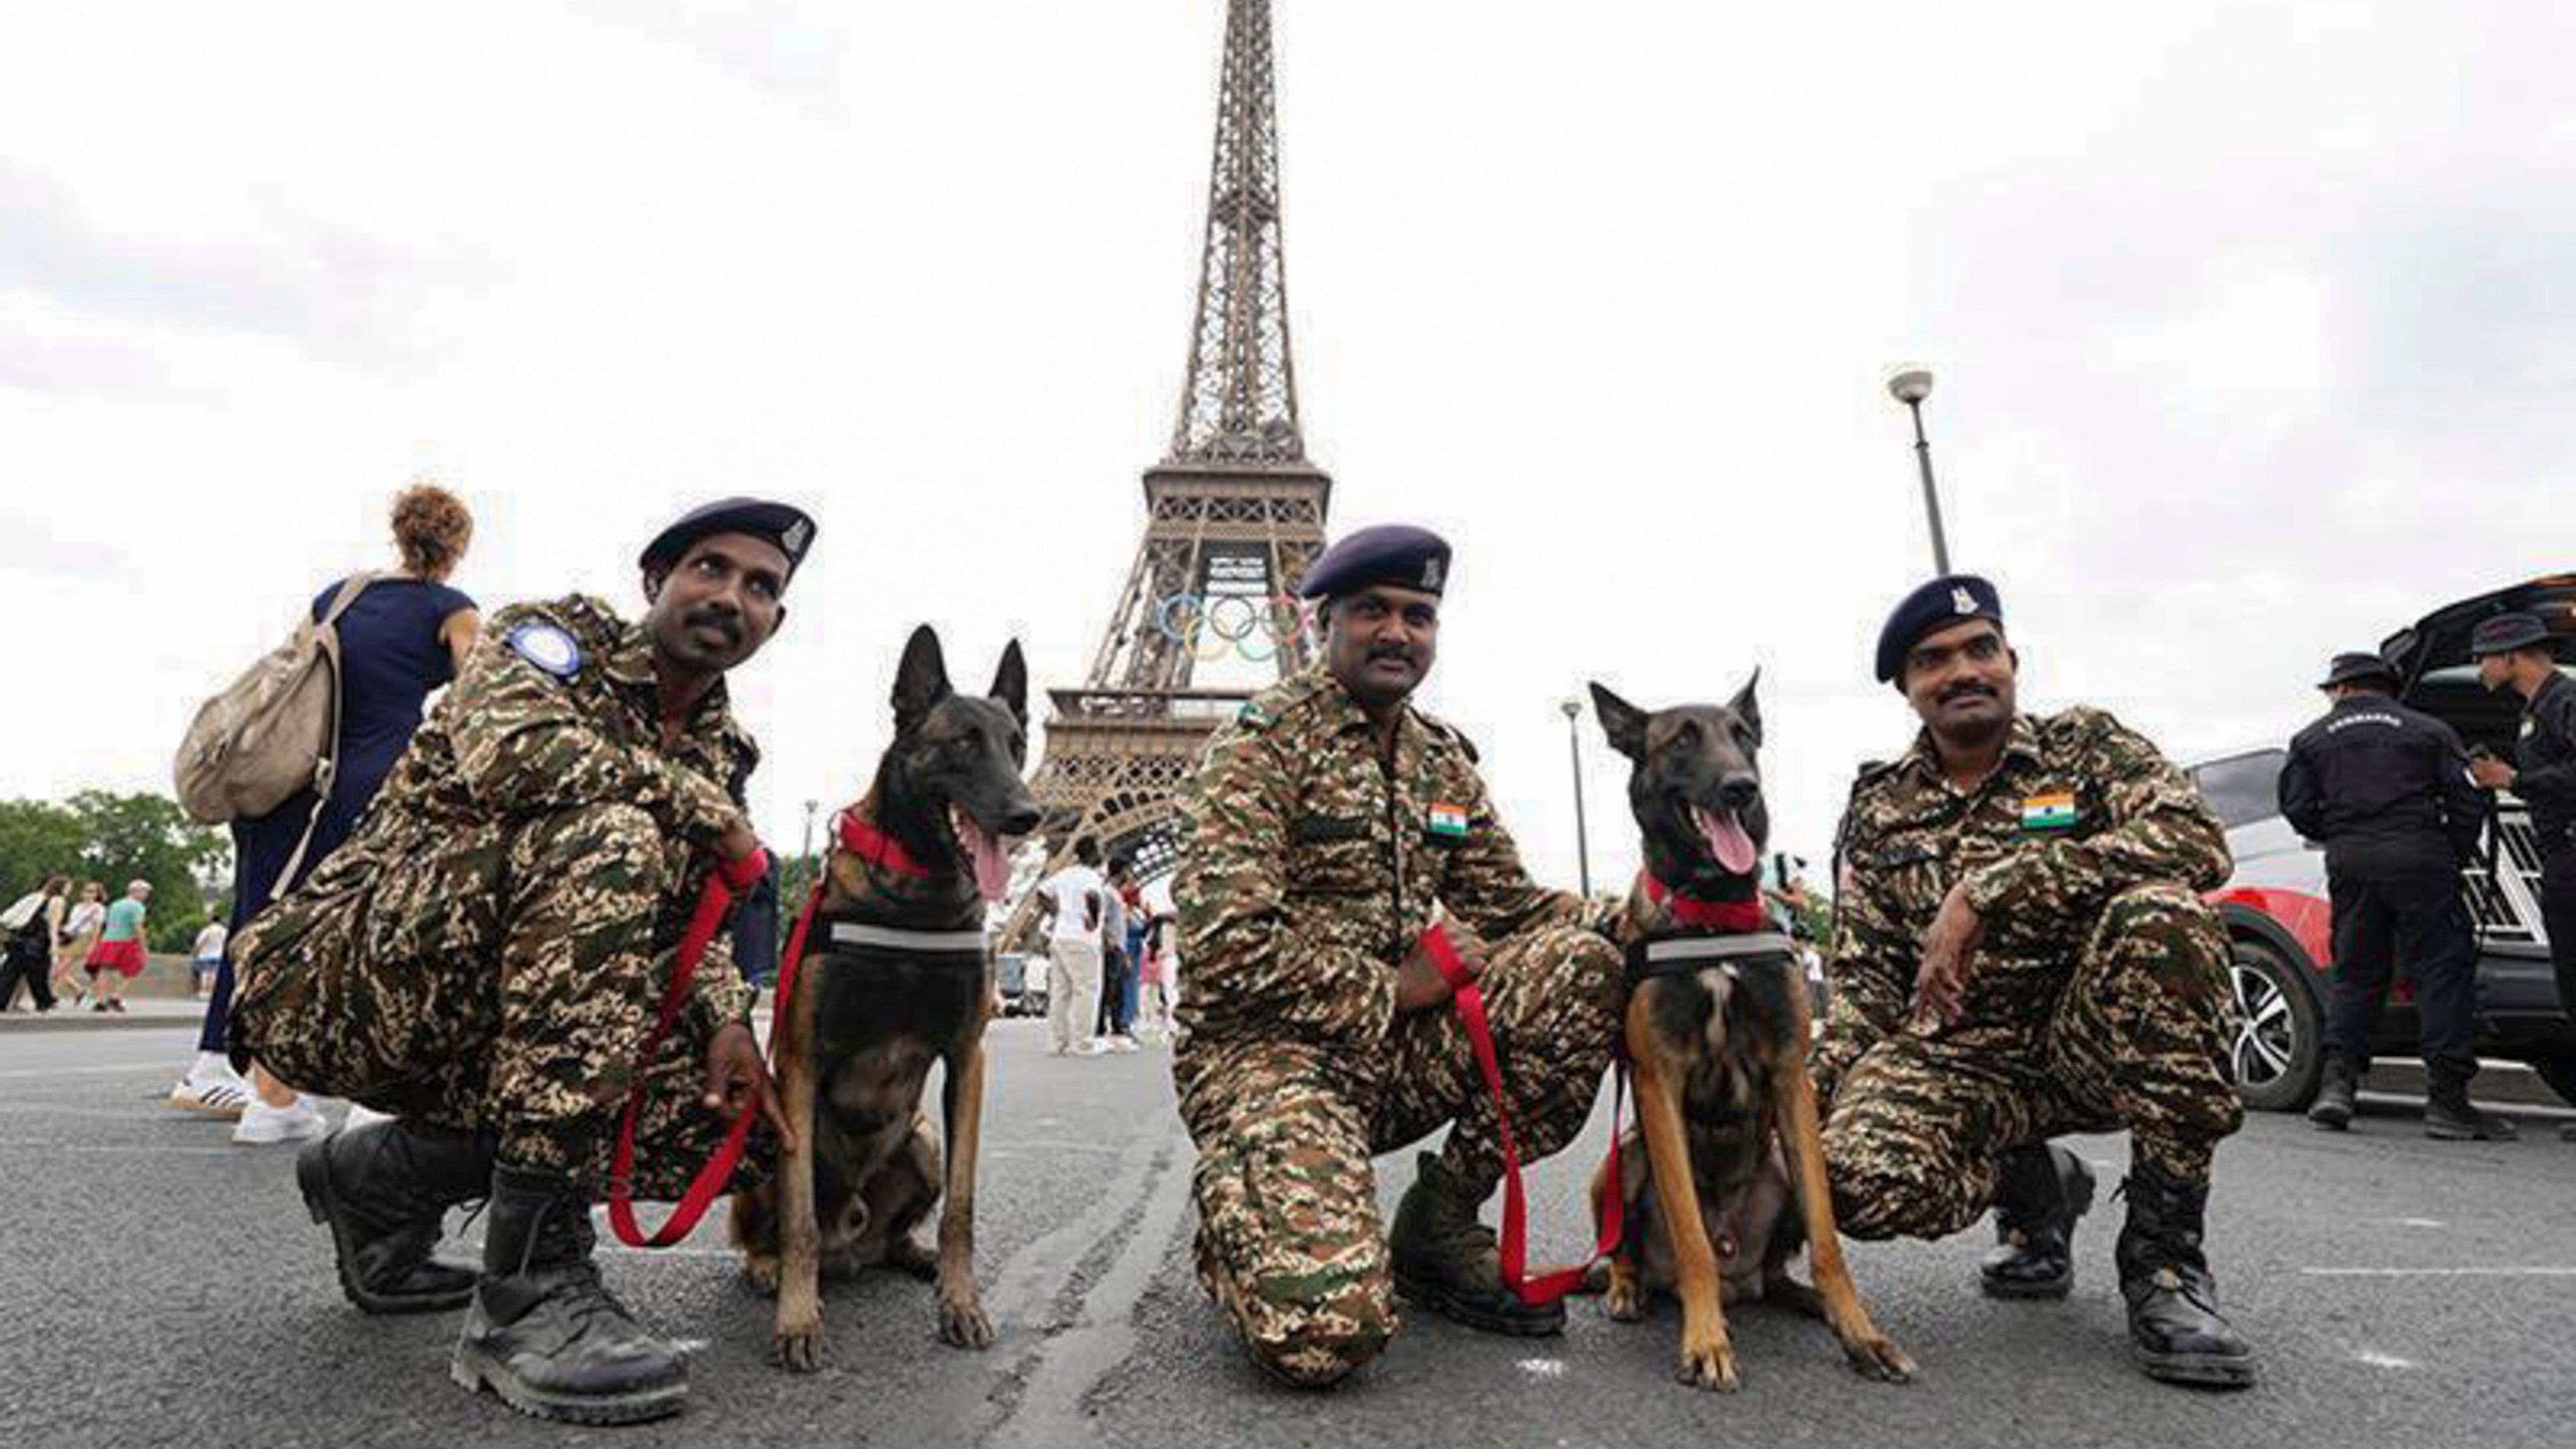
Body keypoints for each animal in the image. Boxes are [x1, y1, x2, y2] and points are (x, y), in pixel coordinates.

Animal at [731, 625, 1040, 1369]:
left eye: (1017, 743)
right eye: (963, 742)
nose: (1027, 814)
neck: (917, 897)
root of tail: (854, 1244)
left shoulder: (967, 1059)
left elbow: (962, 1208)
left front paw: (961, 1302)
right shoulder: (801, 1060)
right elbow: (800, 1220)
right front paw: (797, 1319)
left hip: (922, 1140)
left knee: (895, 1236)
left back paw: (916, 1257)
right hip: (764, 1134)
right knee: (780, 1231)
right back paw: (768, 1268)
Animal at [1576, 679, 1906, 1389]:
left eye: (1744, 736)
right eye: (1681, 740)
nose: (1740, 788)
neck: (1711, 915)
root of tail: (1740, 1276)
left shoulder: (1789, 1078)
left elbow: (1828, 1239)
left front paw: (1860, 1330)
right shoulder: (1658, 1083)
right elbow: (1692, 1238)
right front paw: (1705, 1342)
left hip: (1778, 1160)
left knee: (1778, 1273)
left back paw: (1808, 1302)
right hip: (1621, 1157)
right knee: (1631, 1250)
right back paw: (1628, 1288)